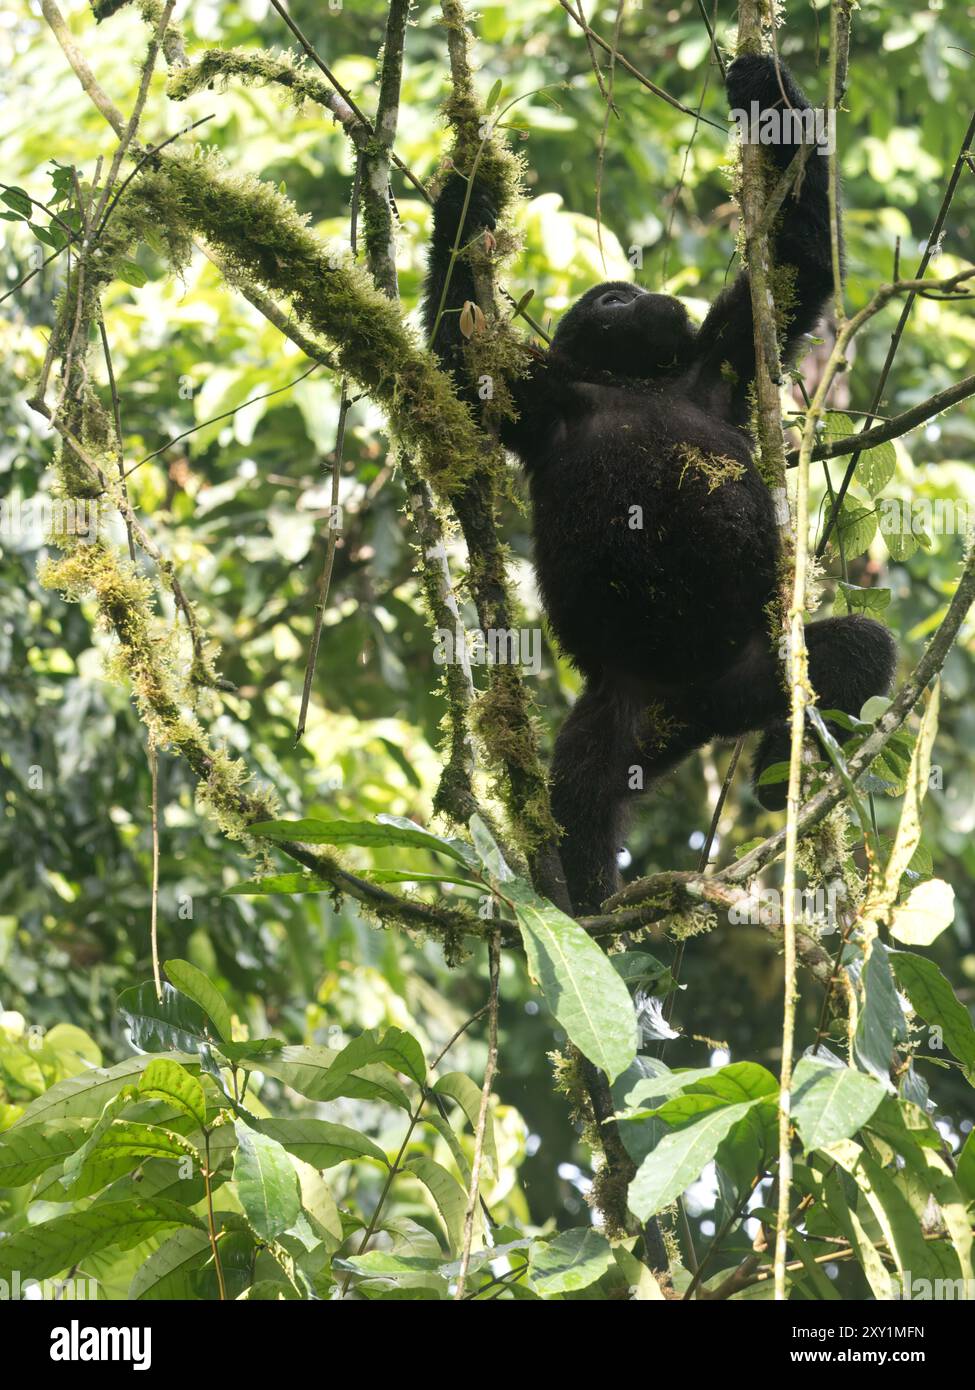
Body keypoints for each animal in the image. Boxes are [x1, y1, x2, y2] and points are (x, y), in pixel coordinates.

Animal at [422, 54, 895, 917]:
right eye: (610, 297)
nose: (641, 296)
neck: (633, 383)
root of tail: (699, 708)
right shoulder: (539, 396)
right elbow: (457, 346)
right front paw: (468, 187)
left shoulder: (722, 363)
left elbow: (797, 265)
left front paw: (764, 85)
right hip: (625, 708)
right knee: (579, 787)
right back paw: (585, 904)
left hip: (759, 668)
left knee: (852, 650)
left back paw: (782, 770)